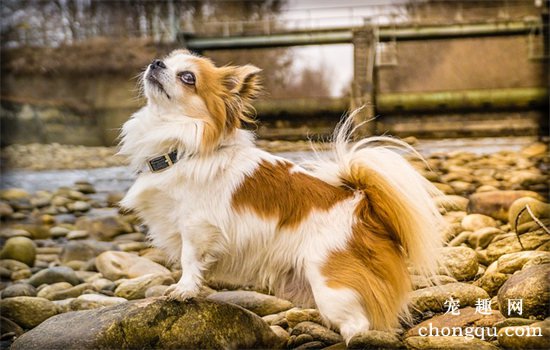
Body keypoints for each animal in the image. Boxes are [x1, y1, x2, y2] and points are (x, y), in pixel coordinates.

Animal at [118, 50, 446, 344]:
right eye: (166, 60)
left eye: (188, 77)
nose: (156, 63)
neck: (180, 150)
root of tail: (362, 206)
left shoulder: (196, 226)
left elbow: (188, 259)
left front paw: (183, 289)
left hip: (331, 287)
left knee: (358, 325)